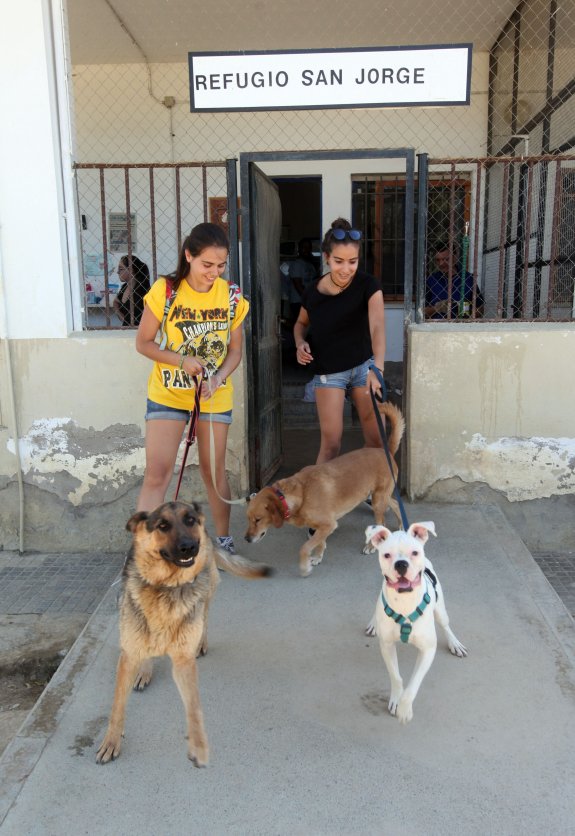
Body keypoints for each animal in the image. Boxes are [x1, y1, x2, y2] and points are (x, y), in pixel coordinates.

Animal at [96, 500, 272, 768]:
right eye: (162, 525)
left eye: (190, 520)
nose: (190, 546)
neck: (167, 588)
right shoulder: (129, 655)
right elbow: (117, 707)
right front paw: (111, 741)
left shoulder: (183, 662)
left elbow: (194, 708)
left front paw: (198, 746)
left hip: (207, 589)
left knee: (204, 615)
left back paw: (201, 642)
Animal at [245, 404, 402, 576]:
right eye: (248, 518)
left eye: (258, 519)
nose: (246, 539)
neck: (301, 493)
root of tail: (386, 452)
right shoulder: (322, 527)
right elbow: (319, 543)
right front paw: (318, 557)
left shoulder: (328, 525)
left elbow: (305, 547)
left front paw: (304, 566)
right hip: (379, 496)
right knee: (395, 503)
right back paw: (402, 525)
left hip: (378, 500)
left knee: (382, 522)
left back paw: (371, 546)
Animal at [366, 524, 470, 724]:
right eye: (387, 555)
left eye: (414, 552)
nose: (401, 564)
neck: (404, 603)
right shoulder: (387, 646)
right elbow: (396, 677)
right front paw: (396, 700)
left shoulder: (428, 651)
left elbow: (413, 685)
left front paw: (404, 709)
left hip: (440, 610)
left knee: (445, 625)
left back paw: (455, 643)